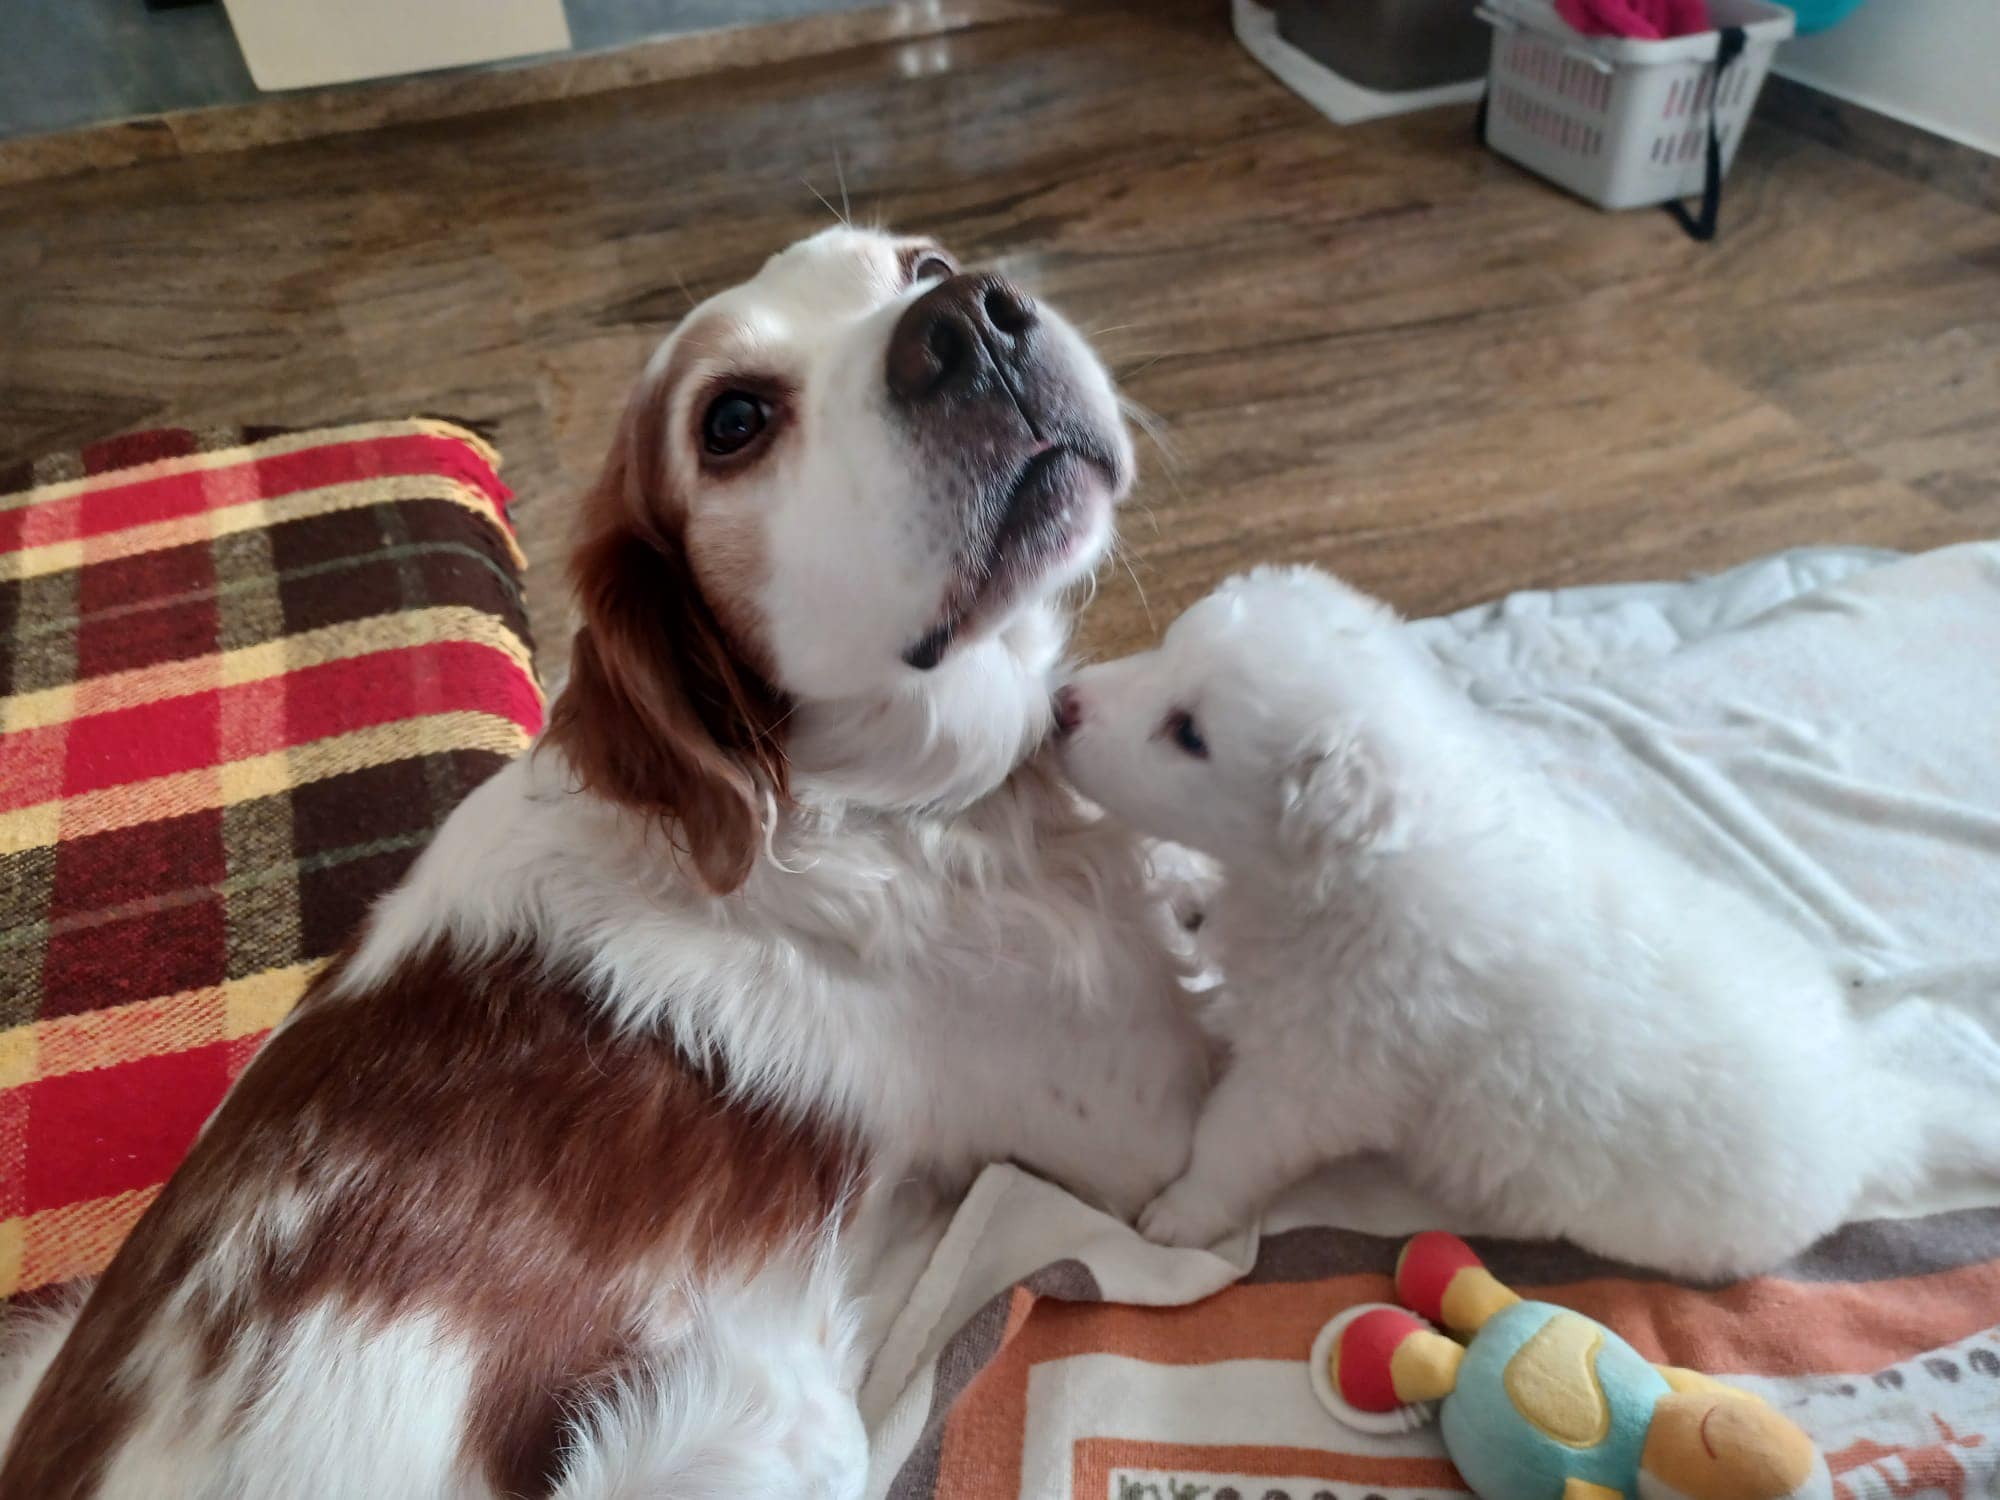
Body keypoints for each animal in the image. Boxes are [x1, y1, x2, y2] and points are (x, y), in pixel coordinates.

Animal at [0, 232, 1200, 1500]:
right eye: (730, 421)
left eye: (918, 263)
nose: (968, 318)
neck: (840, 803)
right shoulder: (1148, 1125)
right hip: (764, 1417)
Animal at [1056, 564, 1992, 1280]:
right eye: (1167, 647)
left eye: (1189, 734)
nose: (1062, 703)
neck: (1361, 868)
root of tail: (1875, 1114)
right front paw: (1189, 897)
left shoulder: (1314, 1075)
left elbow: (1232, 1141)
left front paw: (1179, 1214)